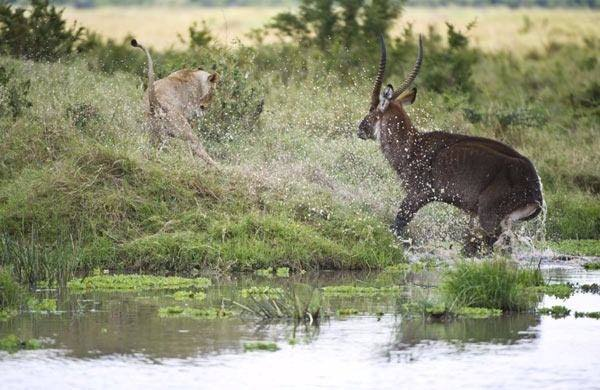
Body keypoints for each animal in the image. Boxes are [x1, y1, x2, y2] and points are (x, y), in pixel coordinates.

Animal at [358, 35, 548, 254]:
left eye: (372, 109)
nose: (359, 128)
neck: (412, 146)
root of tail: (534, 188)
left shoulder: (418, 194)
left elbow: (397, 224)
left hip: (488, 216)